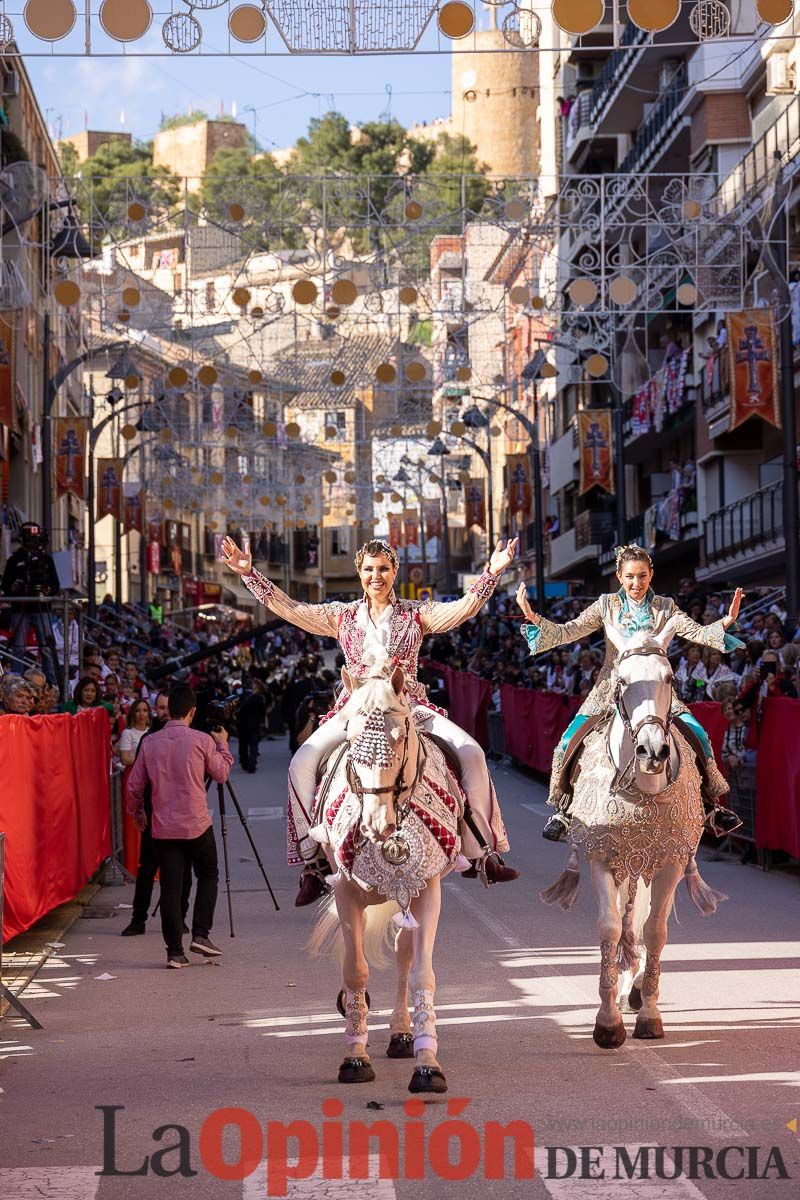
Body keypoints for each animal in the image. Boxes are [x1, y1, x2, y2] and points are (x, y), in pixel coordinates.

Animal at [309, 652, 470, 1094]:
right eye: (350, 737)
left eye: (399, 737)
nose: (376, 824)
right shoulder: (346, 892)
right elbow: (356, 970)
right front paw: (354, 1057)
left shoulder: (428, 891)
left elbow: (421, 974)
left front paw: (428, 1065)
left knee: (403, 954)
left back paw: (401, 1034)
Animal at [544, 619, 724, 1051]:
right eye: (622, 681)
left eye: (670, 678)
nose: (652, 750)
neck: (642, 787)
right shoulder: (600, 856)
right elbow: (610, 926)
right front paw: (607, 1023)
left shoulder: (671, 859)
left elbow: (655, 930)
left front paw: (649, 1015)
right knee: (625, 919)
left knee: (641, 920)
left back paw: (638, 987)